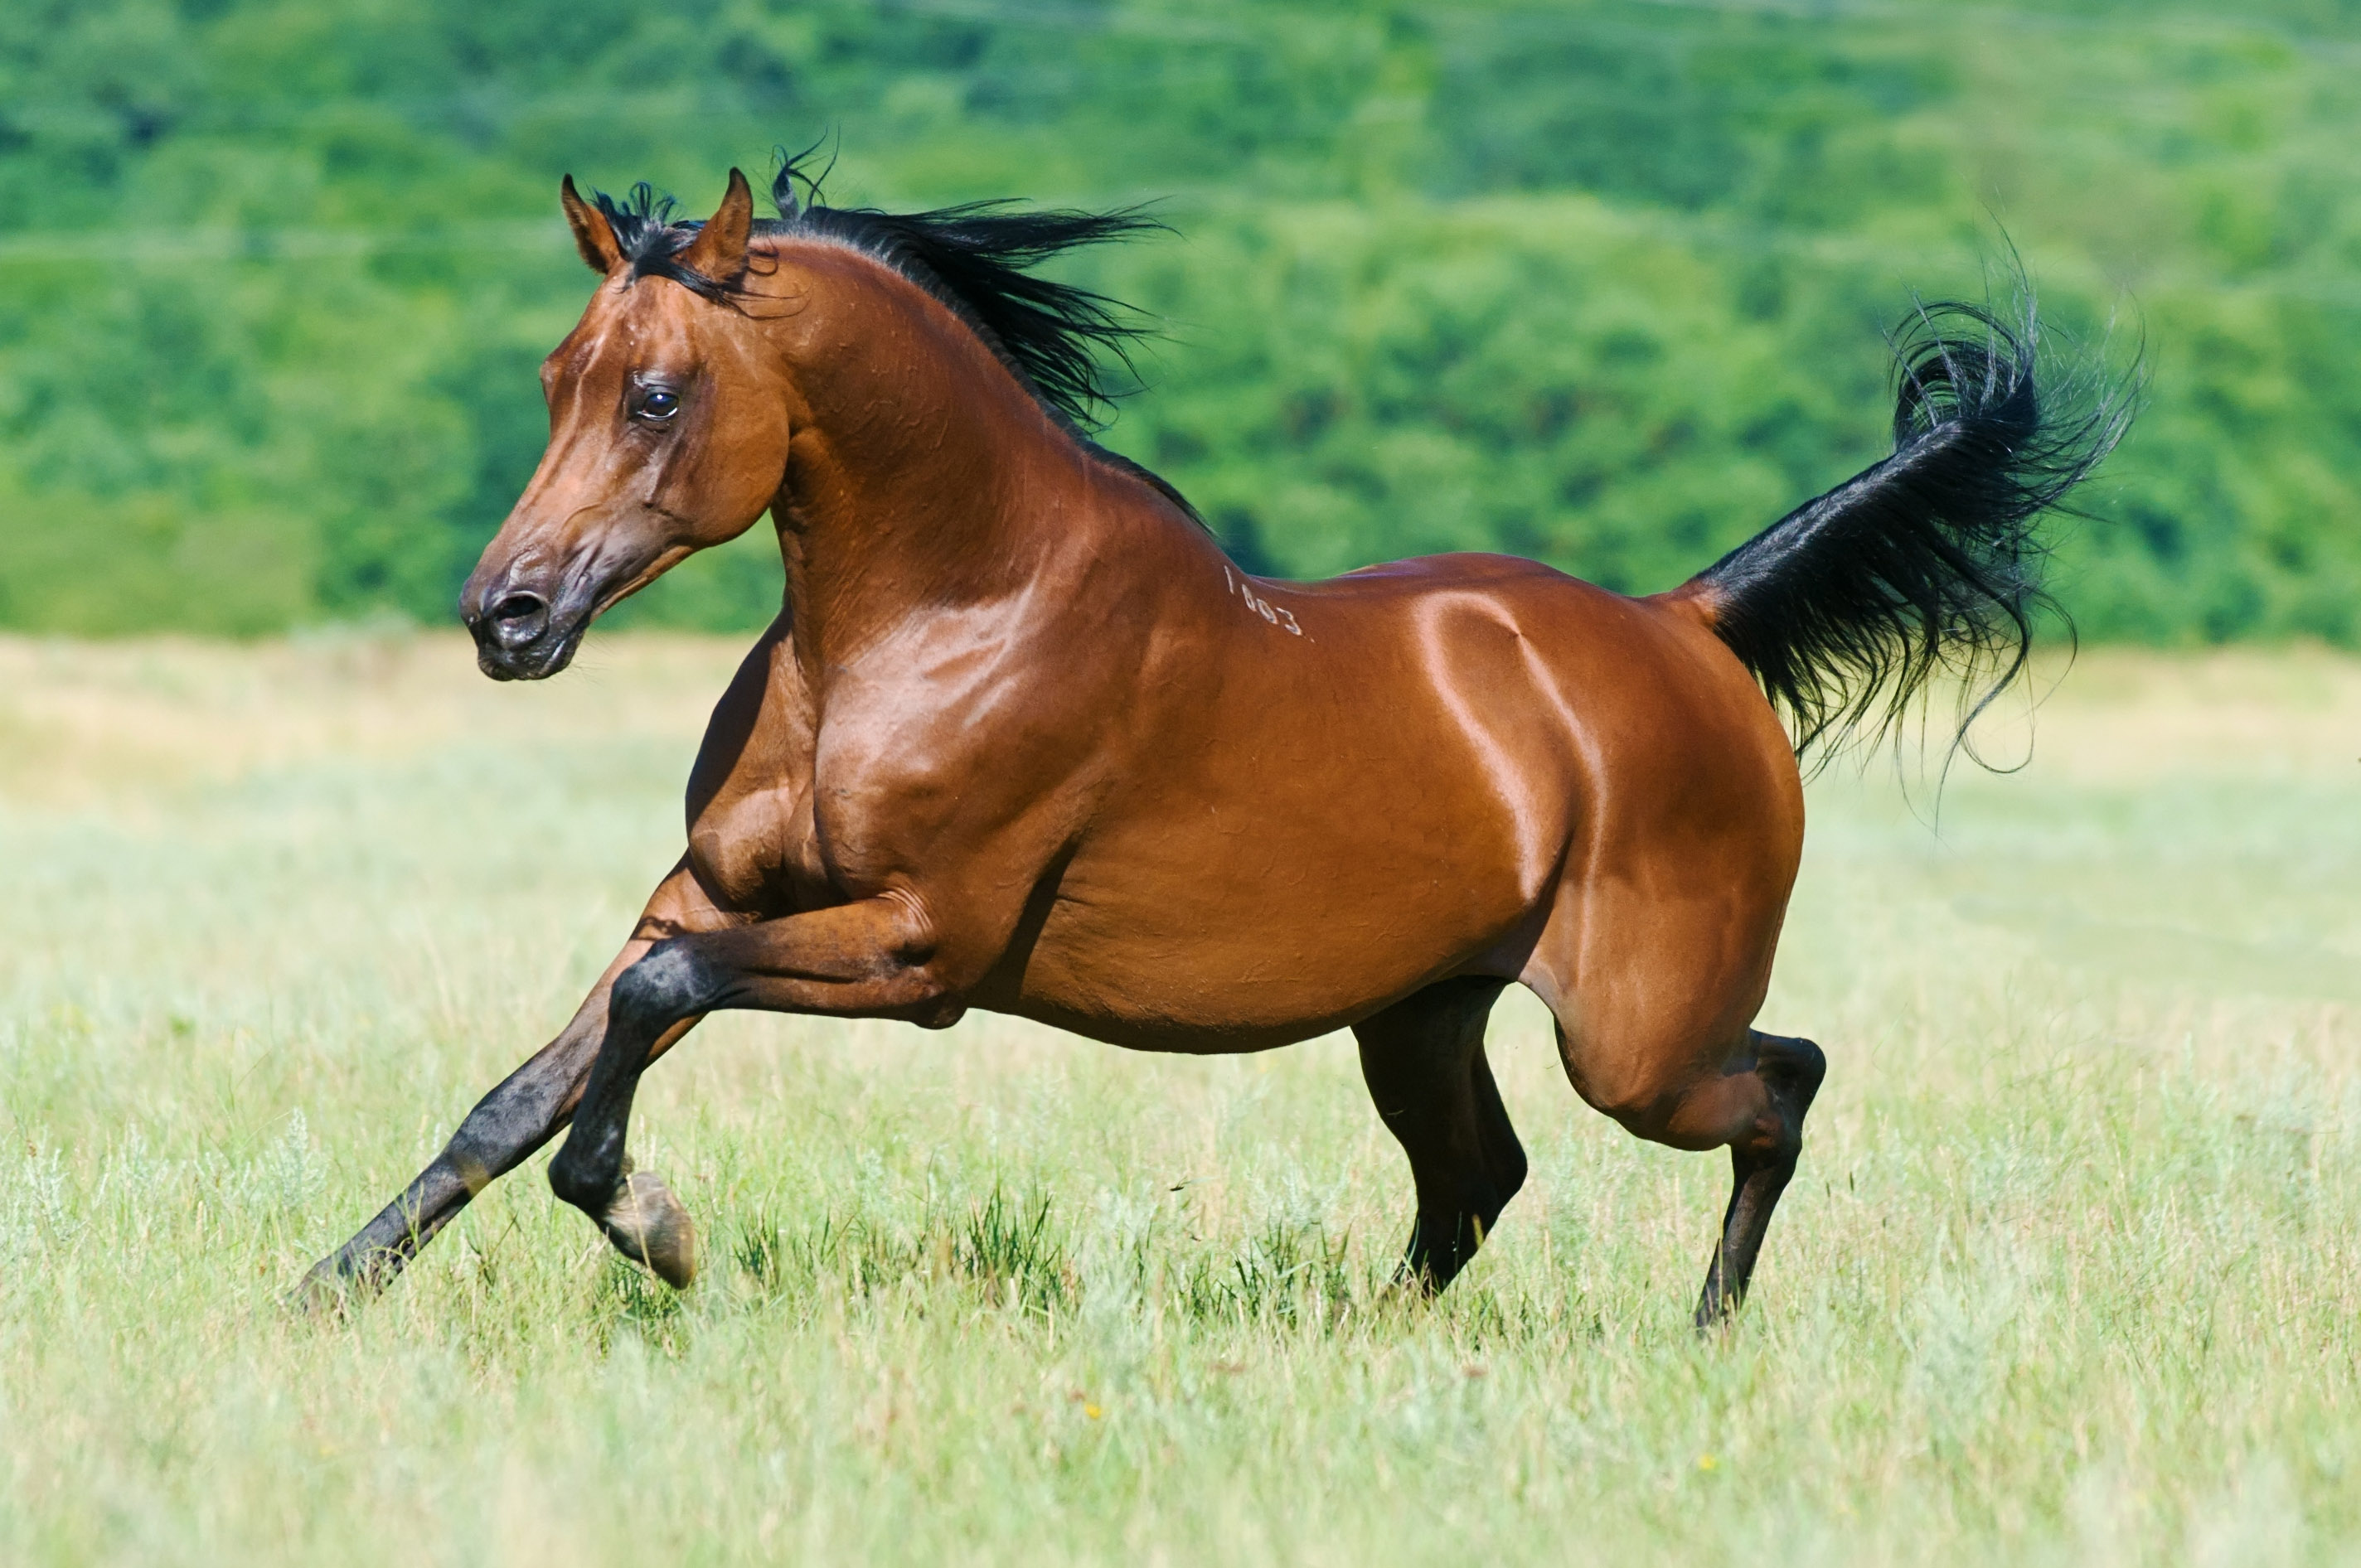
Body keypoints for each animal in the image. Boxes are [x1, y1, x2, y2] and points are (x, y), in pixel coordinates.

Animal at [295, 156, 2125, 1322]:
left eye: (658, 394)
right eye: (559, 374)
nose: (506, 617)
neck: (941, 610)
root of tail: (1686, 626)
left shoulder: (916, 951)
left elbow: (637, 1030)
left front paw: (655, 1229)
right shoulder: (707, 895)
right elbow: (523, 1090)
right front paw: (325, 1289)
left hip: (1636, 1037)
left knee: (1779, 1086)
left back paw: (1707, 1329)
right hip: (1421, 1014)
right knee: (1479, 1179)